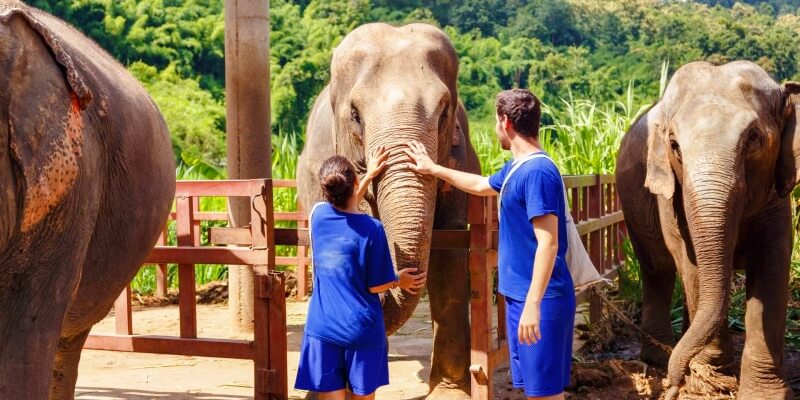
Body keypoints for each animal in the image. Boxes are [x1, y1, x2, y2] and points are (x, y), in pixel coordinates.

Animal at [616, 60, 797, 399]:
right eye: (674, 145)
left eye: (754, 138)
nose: (672, 389)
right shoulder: (670, 195)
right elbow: (691, 263)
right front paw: (712, 379)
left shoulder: (777, 196)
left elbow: (772, 263)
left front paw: (762, 393)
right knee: (658, 268)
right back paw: (659, 356)